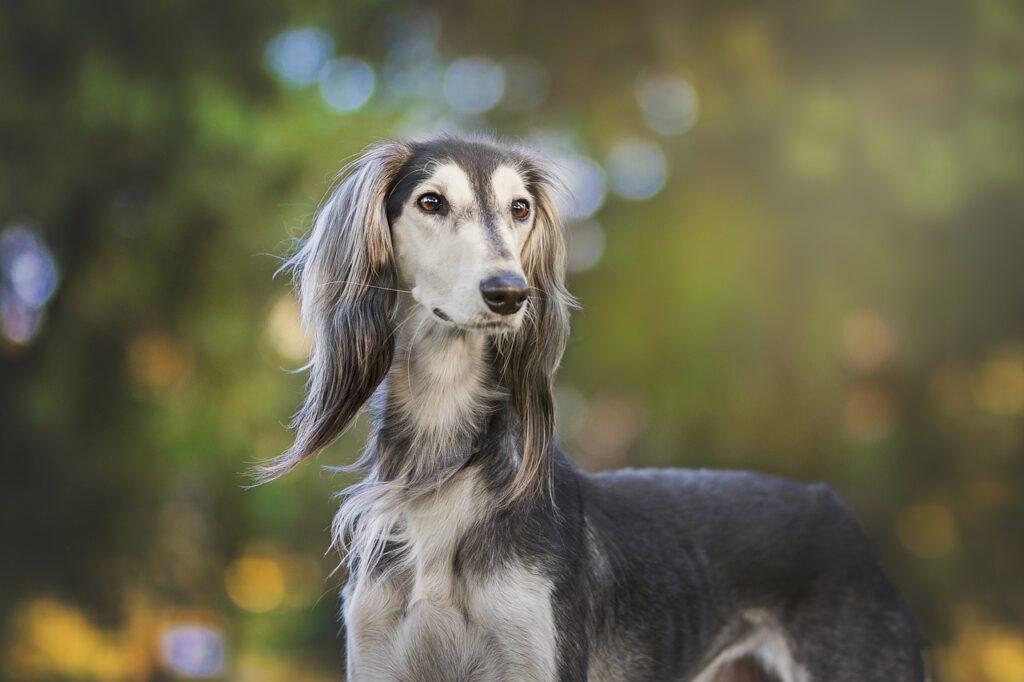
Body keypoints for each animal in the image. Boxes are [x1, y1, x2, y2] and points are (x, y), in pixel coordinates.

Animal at [258, 135, 929, 675]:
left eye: (520, 208)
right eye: (430, 202)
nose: (509, 293)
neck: (445, 473)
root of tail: (835, 507)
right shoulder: (380, 658)